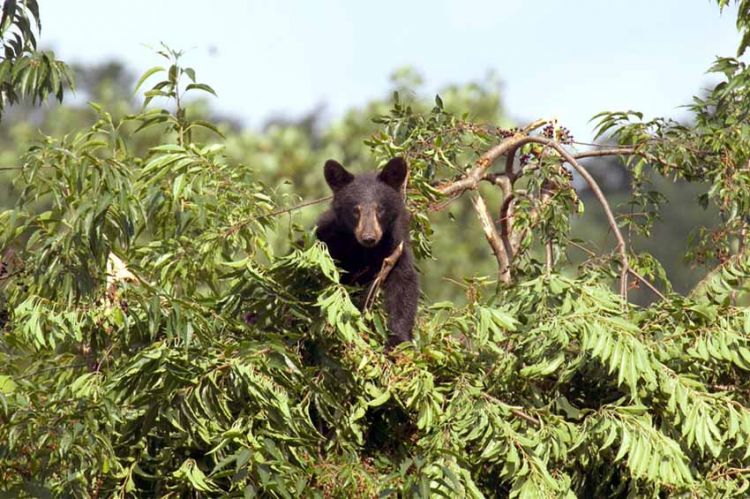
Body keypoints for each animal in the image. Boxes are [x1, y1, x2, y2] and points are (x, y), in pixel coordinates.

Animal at [316, 157, 420, 348]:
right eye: (355, 210)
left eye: (380, 209)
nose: (369, 237)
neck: (365, 250)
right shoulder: (330, 241)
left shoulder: (395, 246)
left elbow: (403, 285)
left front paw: (398, 338)